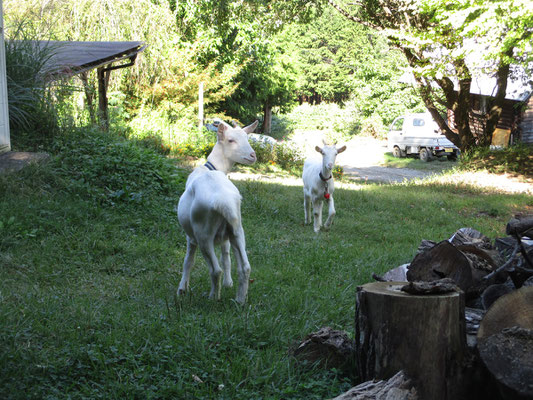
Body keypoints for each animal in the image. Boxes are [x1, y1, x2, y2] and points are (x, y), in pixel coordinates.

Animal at [177, 120, 258, 302]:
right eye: (230, 140)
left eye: (247, 138)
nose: (253, 155)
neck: (211, 167)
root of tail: (224, 202)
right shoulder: (225, 235)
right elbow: (226, 255)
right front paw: (229, 284)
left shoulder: (190, 236)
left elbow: (188, 261)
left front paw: (182, 289)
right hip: (237, 228)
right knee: (245, 267)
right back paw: (240, 300)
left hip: (203, 234)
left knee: (215, 270)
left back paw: (213, 298)